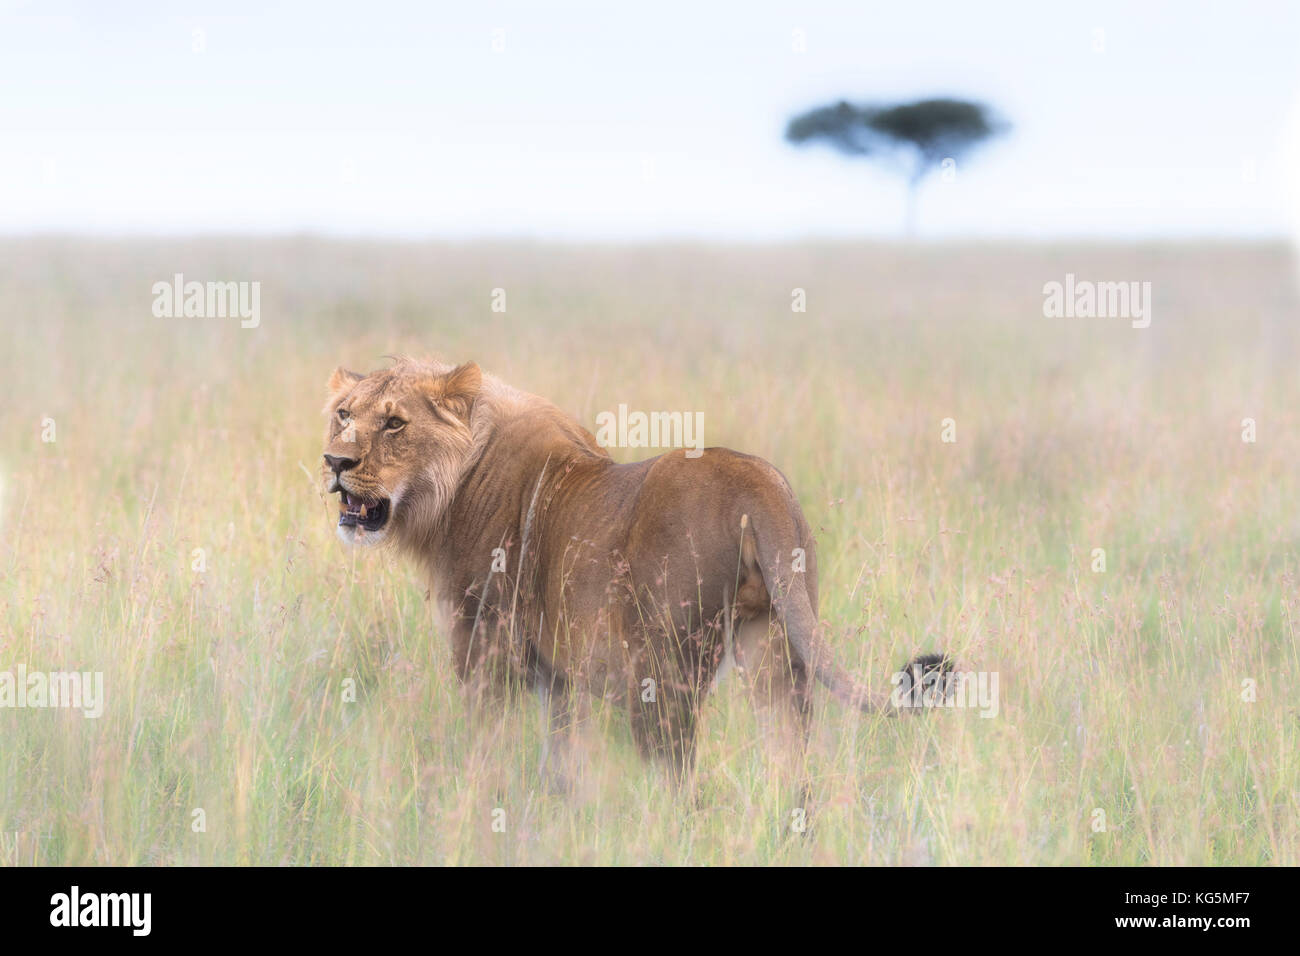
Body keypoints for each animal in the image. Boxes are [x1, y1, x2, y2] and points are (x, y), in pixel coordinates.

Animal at [314, 358, 946, 785]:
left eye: (395, 424)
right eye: (343, 415)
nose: (335, 462)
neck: (454, 486)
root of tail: (755, 483)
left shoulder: (486, 652)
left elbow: (485, 749)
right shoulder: (558, 674)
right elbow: (562, 760)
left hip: (660, 675)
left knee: (682, 785)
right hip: (775, 648)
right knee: (793, 772)